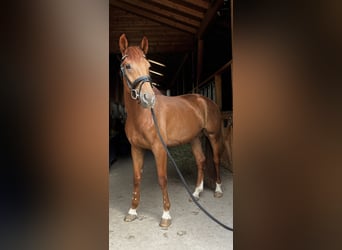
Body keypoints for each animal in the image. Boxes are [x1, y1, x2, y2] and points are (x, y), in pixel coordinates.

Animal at [119, 34, 224, 228]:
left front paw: (166, 215)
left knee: (215, 159)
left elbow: (162, 179)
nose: (148, 98)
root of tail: (205, 100)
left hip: (213, 136)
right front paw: (132, 211)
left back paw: (218, 190)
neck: (143, 116)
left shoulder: (159, 149)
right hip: (194, 138)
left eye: (149, 66)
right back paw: (196, 192)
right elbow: (136, 178)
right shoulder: (136, 149)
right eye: (127, 66)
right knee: (201, 161)